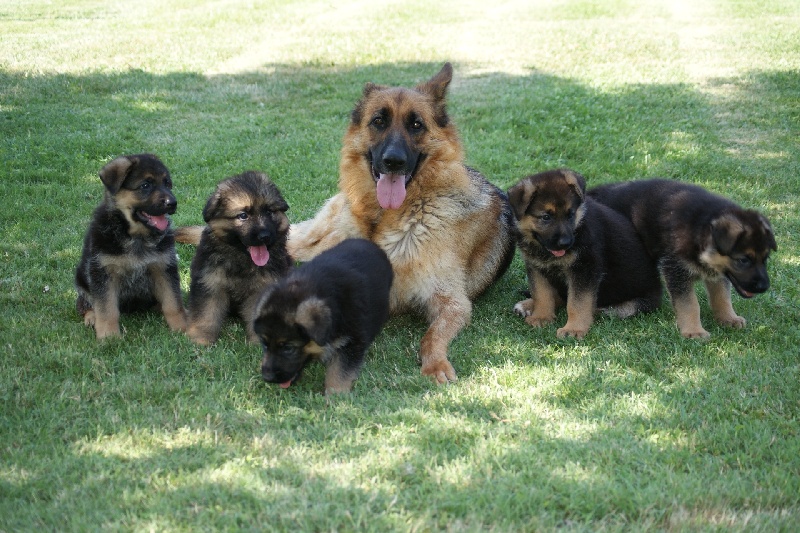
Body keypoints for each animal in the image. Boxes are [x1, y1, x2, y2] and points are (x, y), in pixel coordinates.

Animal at [74, 152, 188, 338]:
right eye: (145, 185)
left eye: (167, 184)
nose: (172, 203)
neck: (136, 237)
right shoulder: (103, 273)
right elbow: (106, 309)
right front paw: (109, 336)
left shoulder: (164, 267)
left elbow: (172, 302)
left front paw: (183, 327)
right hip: (81, 279)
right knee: (84, 303)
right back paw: (91, 317)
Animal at [255, 239, 392, 392]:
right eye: (264, 344)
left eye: (288, 348)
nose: (267, 378)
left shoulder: (352, 340)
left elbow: (340, 371)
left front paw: (336, 395)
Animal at [506, 168, 664, 338]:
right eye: (546, 217)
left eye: (570, 214)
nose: (566, 243)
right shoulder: (536, 267)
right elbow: (542, 294)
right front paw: (541, 317)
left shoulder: (584, 268)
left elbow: (577, 302)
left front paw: (574, 329)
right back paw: (527, 305)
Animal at [588, 178, 776, 336]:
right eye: (743, 260)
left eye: (765, 259)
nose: (765, 287)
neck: (700, 229)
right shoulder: (676, 269)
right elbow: (689, 304)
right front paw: (694, 331)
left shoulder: (717, 271)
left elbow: (722, 296)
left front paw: (728, 318)